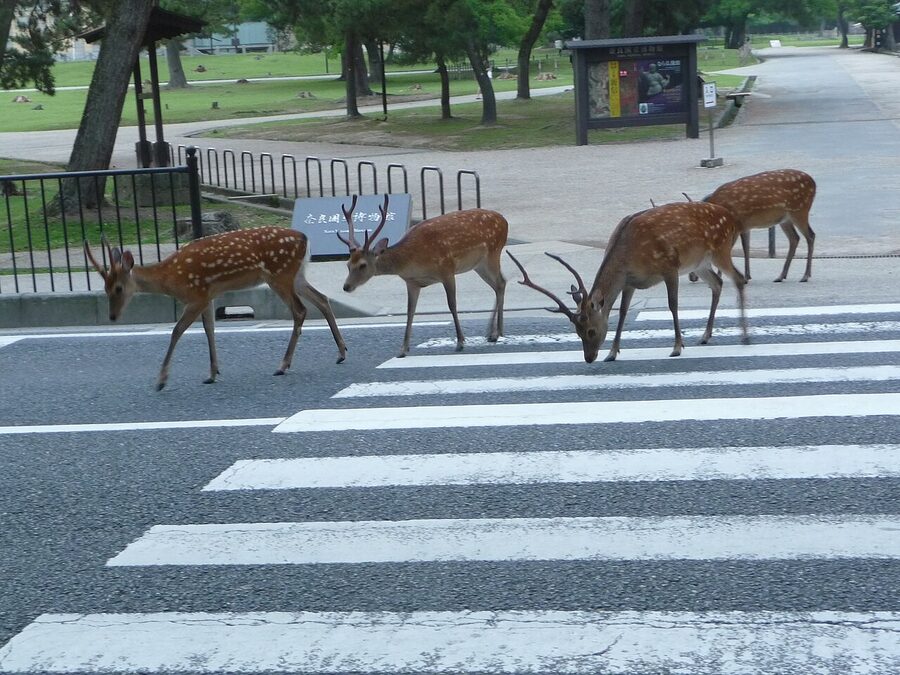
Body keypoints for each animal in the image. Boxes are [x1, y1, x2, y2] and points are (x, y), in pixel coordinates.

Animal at [84, 227, 347, 390]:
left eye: (118, 288)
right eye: (104, 287)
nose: (112, 316)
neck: (171, 279)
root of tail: (305, 238)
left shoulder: (196, 295)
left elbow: (177, 331)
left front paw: (161, 380)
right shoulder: (208, 296)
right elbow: (209, 329)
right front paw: (212, 373)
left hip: (279, 274)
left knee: (300, 310)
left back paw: (282, 366)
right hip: (295, 275)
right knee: (322, 298)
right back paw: (341, 353)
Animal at [337, 194, 508, 357]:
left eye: (363, 265)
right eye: (348, 264)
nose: (346, 286)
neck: (413, 260)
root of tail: (505, 221)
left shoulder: (446, 269)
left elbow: (452, 304)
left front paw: (460, 342)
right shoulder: (412, 282)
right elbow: (410, 311)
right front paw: (403, 349)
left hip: (492, 253)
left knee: (500, 283)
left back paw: (496, 333)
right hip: (479, 265)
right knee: (499, 284)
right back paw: (494, 332)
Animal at [507, 201, 749, 364]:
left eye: (590, 331)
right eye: (576, 332)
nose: (589, 358)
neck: (628, 254)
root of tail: (734, 219)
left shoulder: (669, 267)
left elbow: (672, 305)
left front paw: (677, 347)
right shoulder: (630, 281)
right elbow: (622, 313)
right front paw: (612, 353)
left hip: (720, 249)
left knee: (738, 279)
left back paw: (745, 336)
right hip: (699, 263)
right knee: (717, 283)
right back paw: (705, 336)